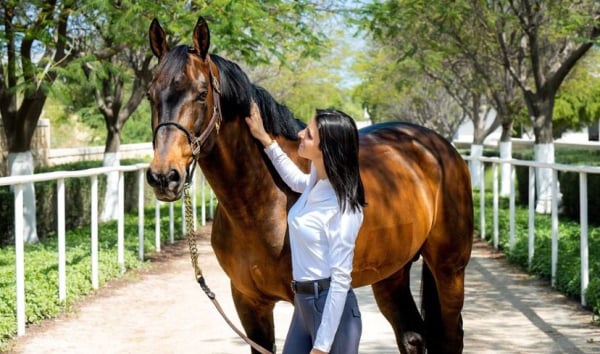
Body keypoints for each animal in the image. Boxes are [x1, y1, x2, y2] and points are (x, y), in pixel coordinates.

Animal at [146, 15, 474, 352]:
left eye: (202, 94)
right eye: (150, 94)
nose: (164, 176)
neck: (264, 201)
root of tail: (437, 146)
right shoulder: (248, 301)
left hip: (449, 270)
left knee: (451, 335)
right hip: (392, 272)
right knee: (412, 335)